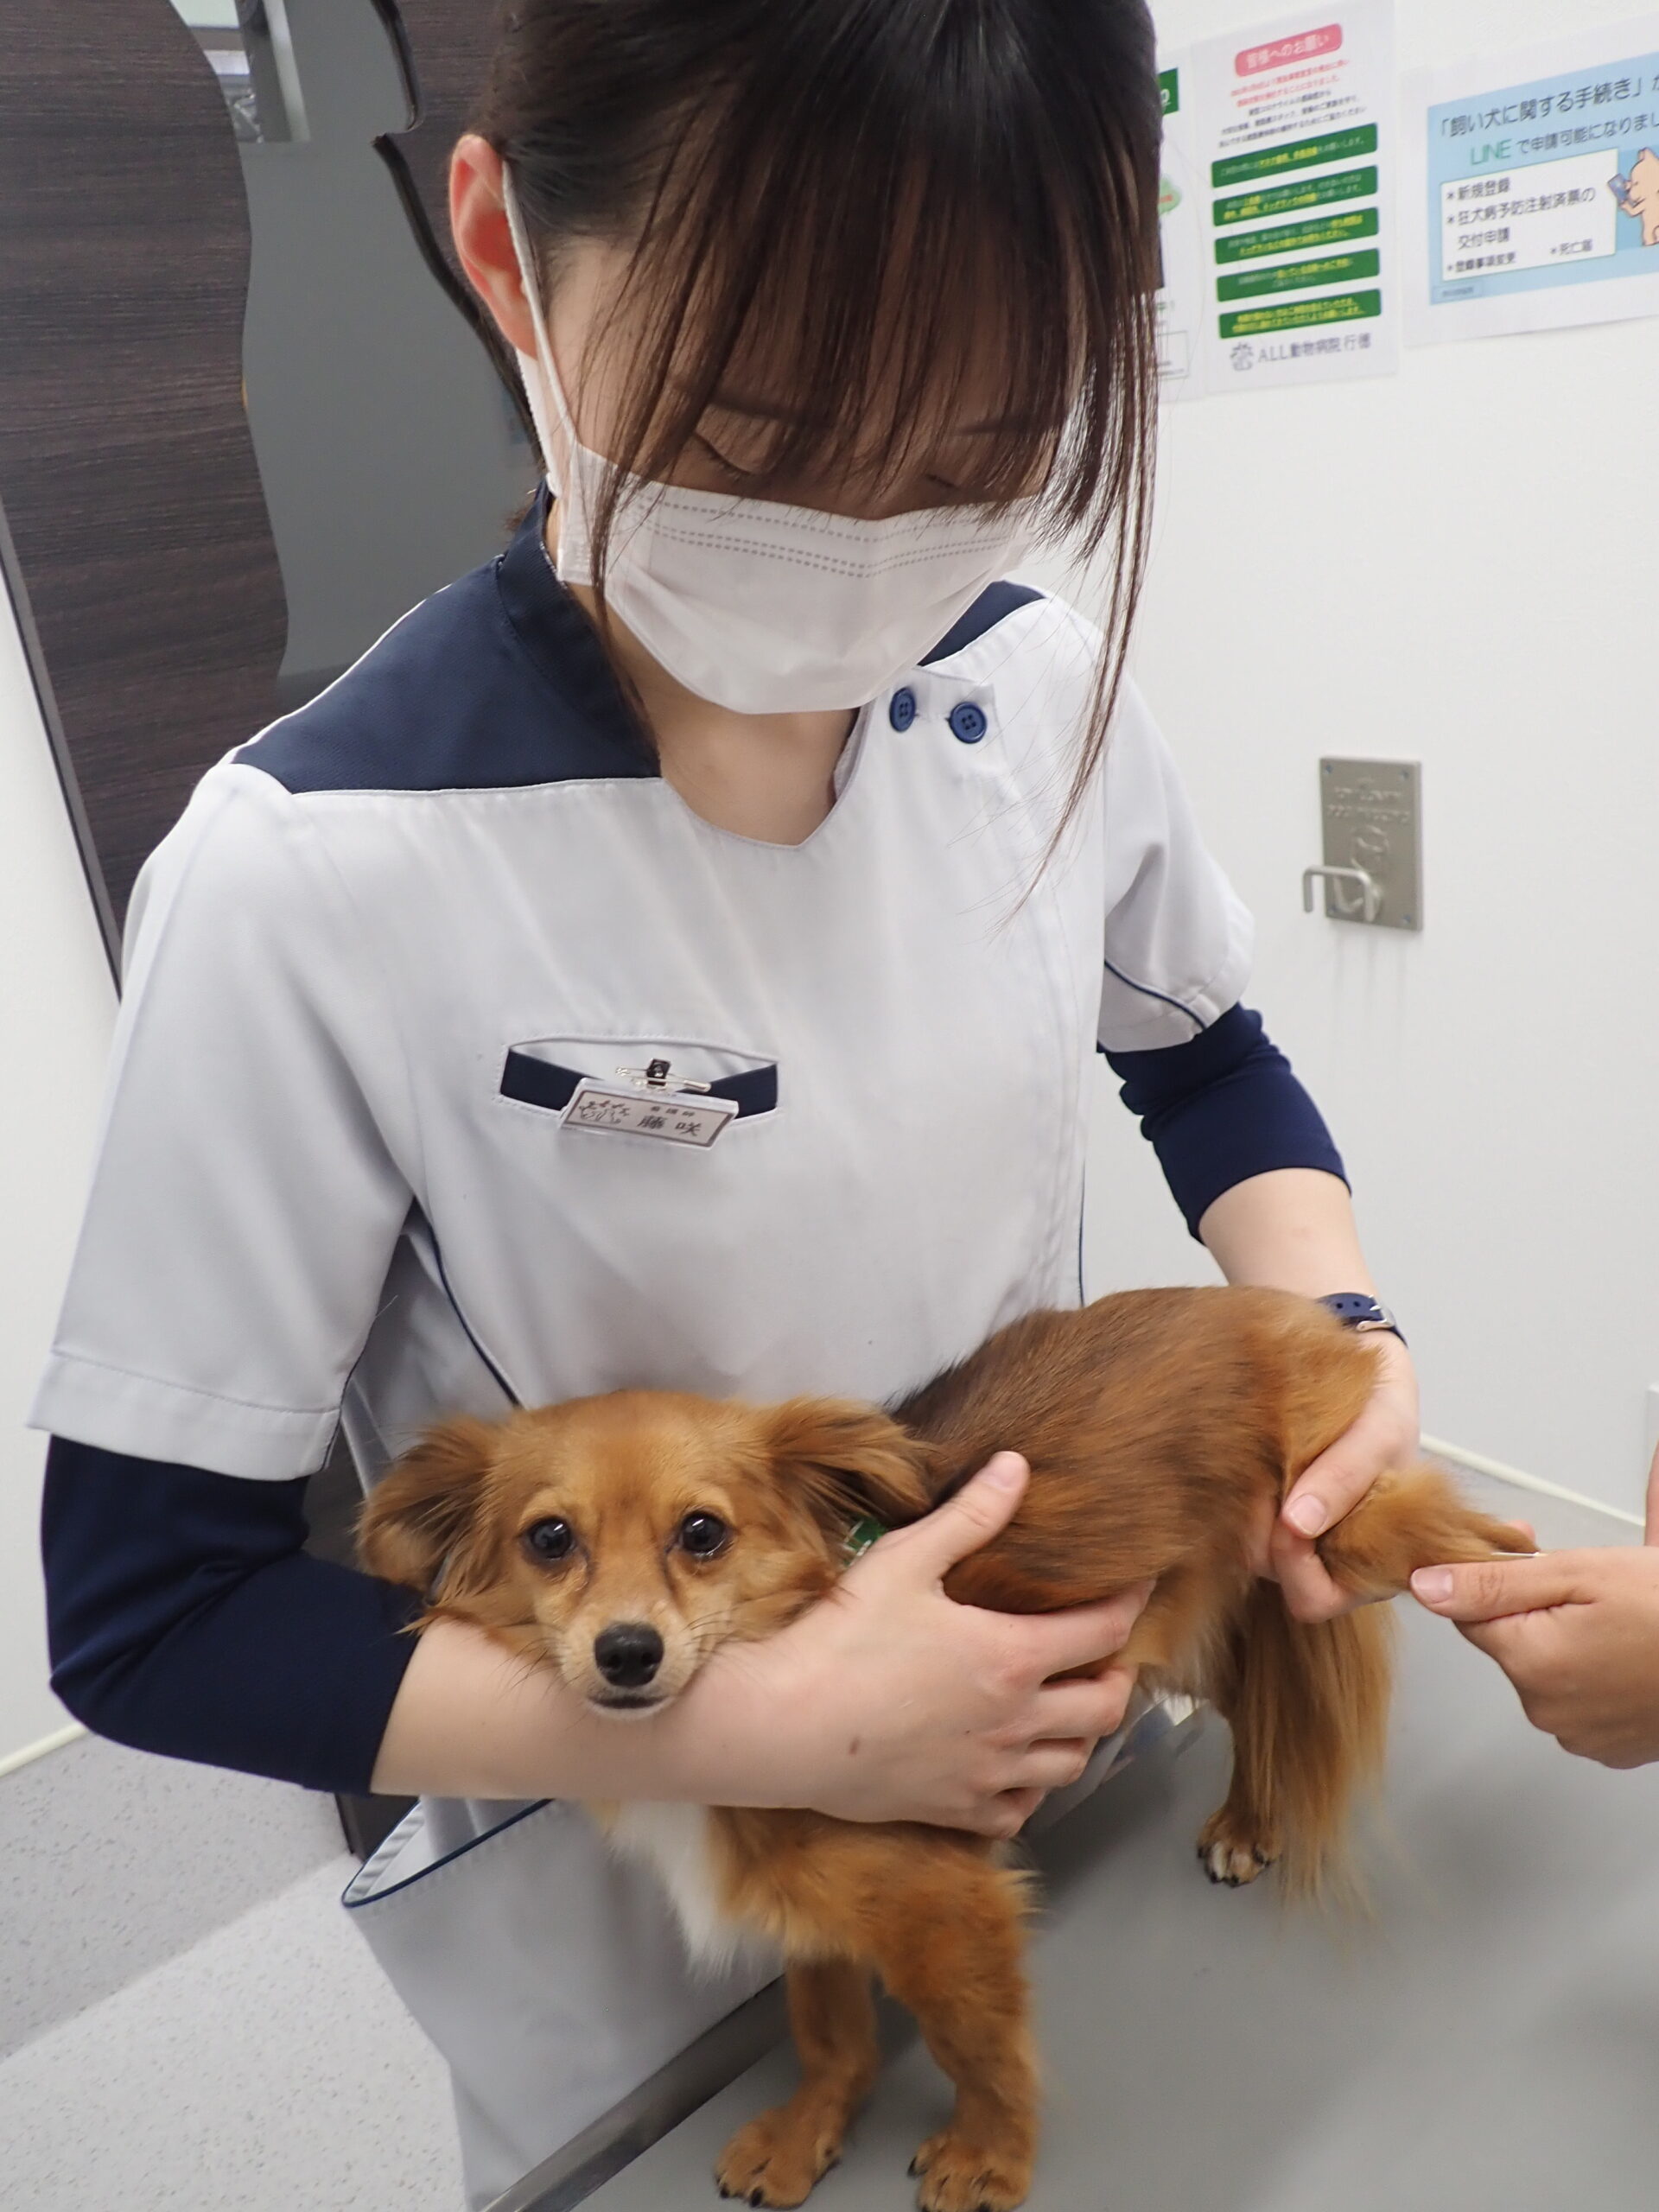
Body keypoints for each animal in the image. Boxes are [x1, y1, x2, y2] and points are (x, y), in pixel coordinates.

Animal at [362, 1292, 1530, 2202]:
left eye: (702, 1533)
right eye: (549, 1539)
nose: (627, 1651)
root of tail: (1274, 1308)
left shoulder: (945, 1910)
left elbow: (979, 2047)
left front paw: (991, 2157)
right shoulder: (820, 1913)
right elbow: (827, 2028)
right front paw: (810, 2131)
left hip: (1331, 1524)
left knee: (1444, 1538)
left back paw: (1523, 1571)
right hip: (1196, 1616)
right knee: (1255, 1709)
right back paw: (1249, 1817)